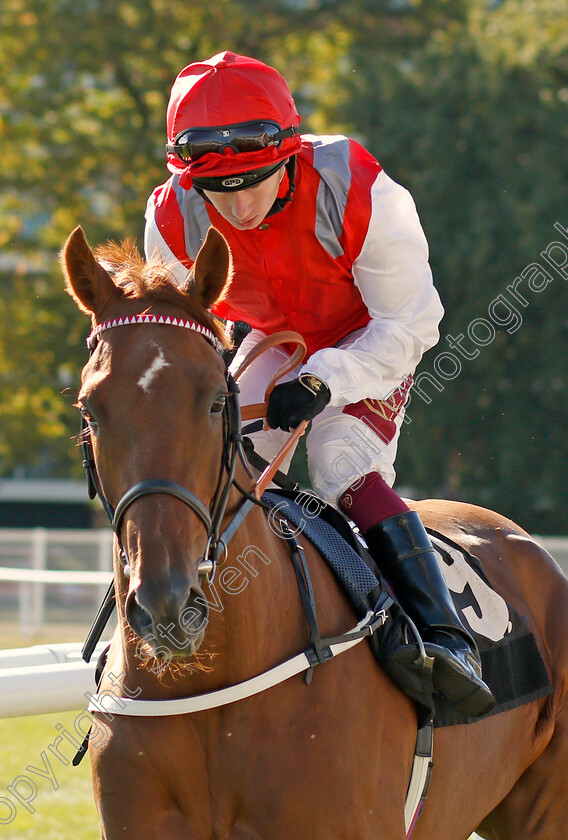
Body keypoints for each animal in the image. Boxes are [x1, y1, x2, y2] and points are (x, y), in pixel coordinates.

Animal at [62, 226, 568, 840]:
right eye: (90, 408)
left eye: (216, 401)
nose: (166, 603)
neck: (208, 686)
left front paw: (303, 393)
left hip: (545, 808)